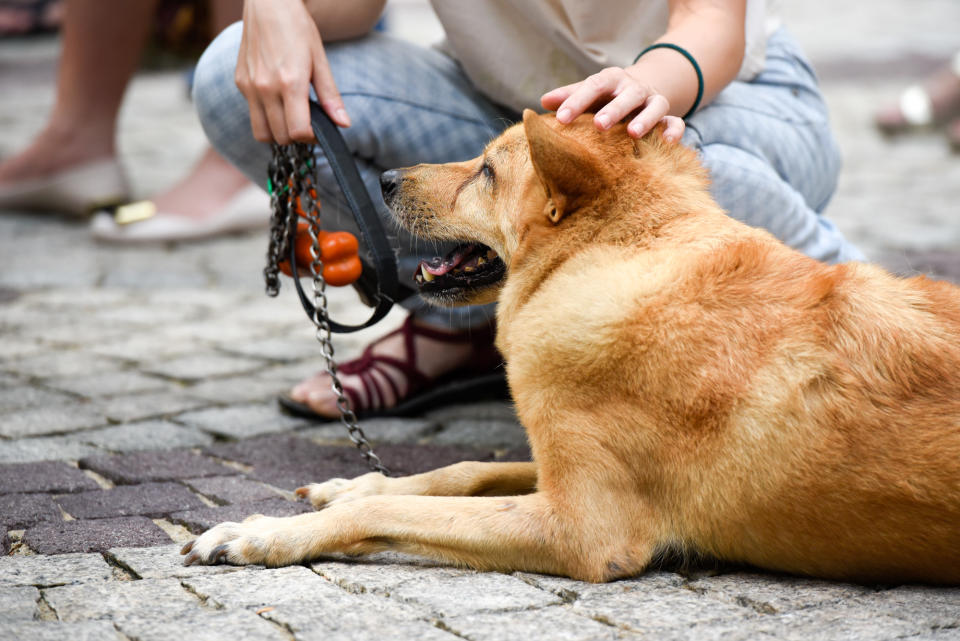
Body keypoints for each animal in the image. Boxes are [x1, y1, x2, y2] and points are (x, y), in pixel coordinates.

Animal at [182, 111, 960, 584]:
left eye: (487, 171)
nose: (385, 179)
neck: (615, 258)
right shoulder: (555, 472)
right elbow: (462, 469)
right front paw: (350, 482)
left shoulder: (581, 527)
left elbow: (386, 515)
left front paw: (261, 534)